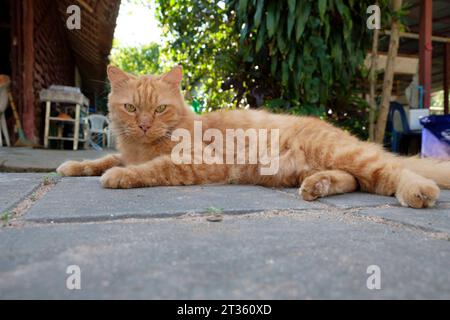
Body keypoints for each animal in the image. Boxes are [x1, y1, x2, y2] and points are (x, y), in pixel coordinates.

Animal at [57, 66, 450, 209]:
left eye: (159, 110)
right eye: (131, 108)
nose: (142, 125)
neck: (142, 146)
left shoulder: (200, 162)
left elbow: (153, 169)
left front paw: (120, 176)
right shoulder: (125, 150)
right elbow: (103, 158)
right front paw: (73, 165)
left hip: (345, 154)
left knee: (393, 172)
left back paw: (419, 191)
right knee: (353, 180)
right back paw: (316, 187)